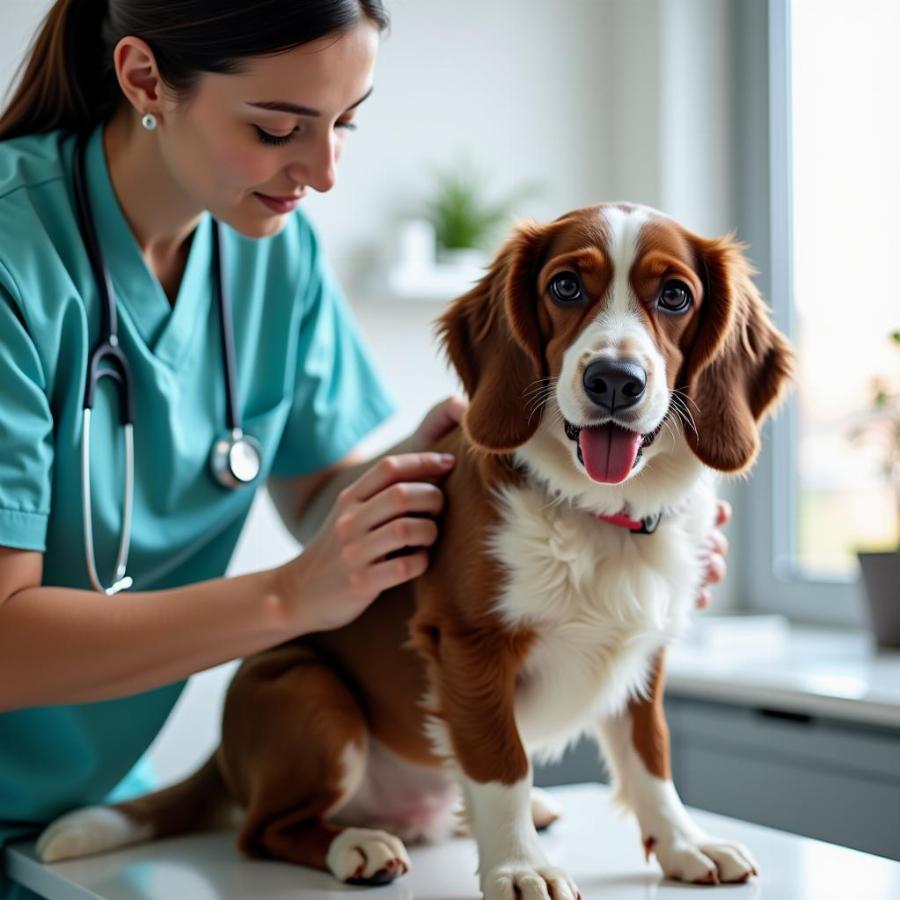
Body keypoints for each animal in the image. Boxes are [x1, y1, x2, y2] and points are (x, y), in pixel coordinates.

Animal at [38, 200, 792, 896]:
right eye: (566, 286)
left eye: (675, 297)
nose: (614, 380)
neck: (597, 513)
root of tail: (220, 757)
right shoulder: (467, 642)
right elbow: (501, 762)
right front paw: (519, 866)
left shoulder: (643, 653)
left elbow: (651, 759)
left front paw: (684, 844)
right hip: (308, 690)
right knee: (263, 830)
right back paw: (357, 846)